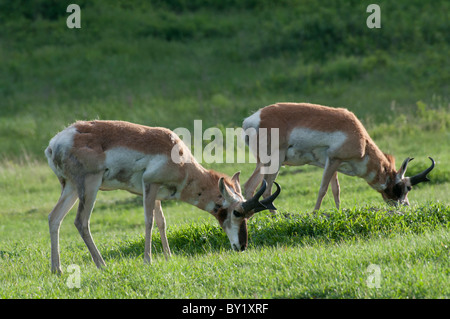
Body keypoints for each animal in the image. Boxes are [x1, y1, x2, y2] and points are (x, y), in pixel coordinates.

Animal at [44, 121, 278, 274]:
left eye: (250, 216)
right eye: (237, 212)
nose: (242, 246)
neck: (180, 157)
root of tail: (56, 142)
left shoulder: (155, 193)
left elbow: (161, 222)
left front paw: (168, 256)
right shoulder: (149, 186)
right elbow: (148, 221)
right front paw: (148, 260)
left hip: (71, 188)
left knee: (54, 218)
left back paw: (57, 269)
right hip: (90, 186)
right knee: (81, 221)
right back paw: (102, 264)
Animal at [243, 103, 436, 212]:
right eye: (405, 188)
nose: (406, 207)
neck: (362, 141)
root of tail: (252, 119)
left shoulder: (332, 163)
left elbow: (336, 190)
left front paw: (338, 212)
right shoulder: (334, 160)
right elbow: (322, 189)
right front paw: (315, 214)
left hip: (266, 163)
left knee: (251, 187)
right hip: (273, 162)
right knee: (264, 189)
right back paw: (275, 218)